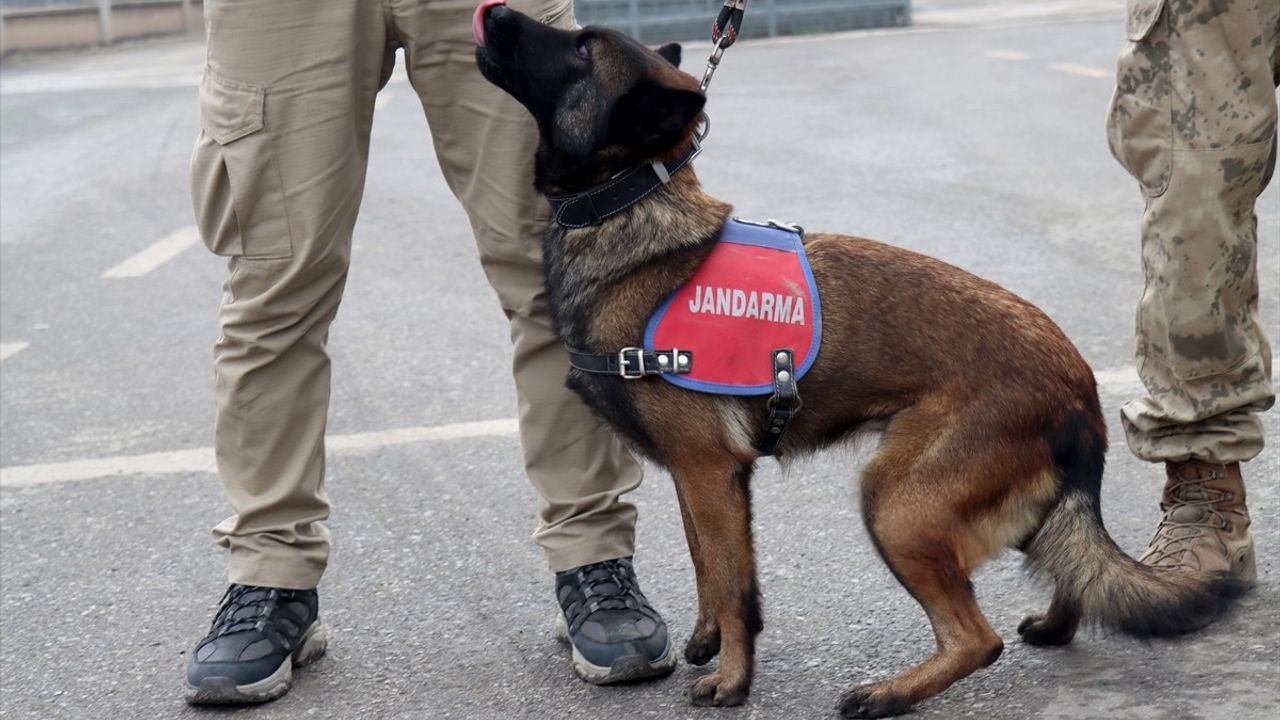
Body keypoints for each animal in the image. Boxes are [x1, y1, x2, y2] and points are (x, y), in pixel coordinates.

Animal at [476, 4, 1244, 712]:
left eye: (581, 47)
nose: (495, 12)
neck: (631, 212)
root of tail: (1077, 381)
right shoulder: (701, 480)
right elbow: (708, 569)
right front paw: (706, 641)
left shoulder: (708, 473)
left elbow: (732, 585)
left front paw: (732, 680)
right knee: (1072, 569)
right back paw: (1052, 627)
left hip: (895, 502)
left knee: (977, 639)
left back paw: (889, 693)